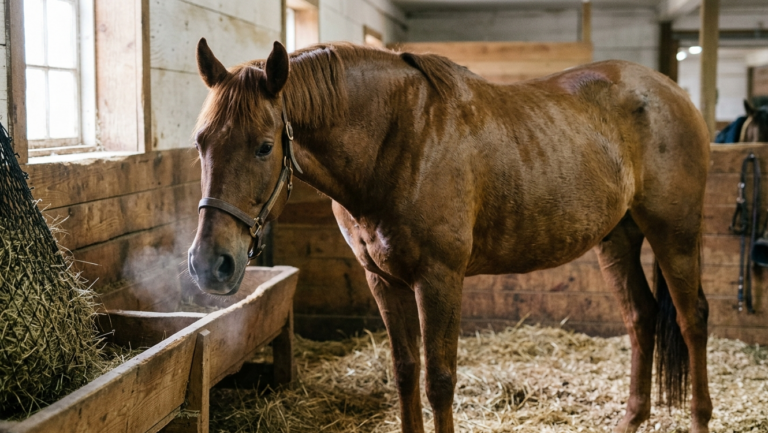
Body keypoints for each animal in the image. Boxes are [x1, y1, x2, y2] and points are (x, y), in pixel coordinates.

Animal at [187, 39, 713, 433]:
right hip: (618, 239)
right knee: (641, 318)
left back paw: (700, 417)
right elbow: (405, 372)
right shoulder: (383, 280)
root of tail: (672, 93)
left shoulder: (439, 278)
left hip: (675, 234)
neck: (398, 140)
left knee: (692, 320)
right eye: (200, 141)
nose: (210, 264)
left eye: (264, 146)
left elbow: (439, 380)